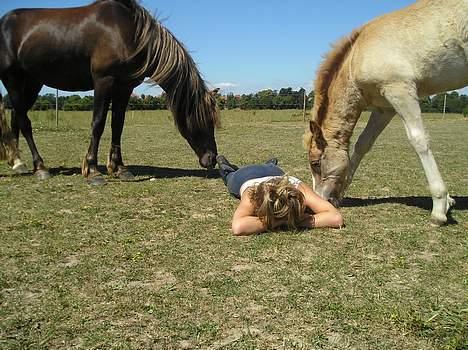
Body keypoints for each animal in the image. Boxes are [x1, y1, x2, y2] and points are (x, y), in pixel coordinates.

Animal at [0, 0, 219, 185]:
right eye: (203, 120)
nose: (212, 159)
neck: (128, 34)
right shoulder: (103, 82)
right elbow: (98, 123)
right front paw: (92, 170)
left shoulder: (125, 86)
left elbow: (117, 125)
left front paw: (119, 168)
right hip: (12, 80)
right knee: (24, 121)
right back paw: (39, 167)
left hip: (31, 83)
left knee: (15, 116)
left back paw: (18, 162)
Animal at [306, 0, 466, 224]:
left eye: (315, 163)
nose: (321, 200)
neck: (359, 54)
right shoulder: (385, 108)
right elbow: (363, 144)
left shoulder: (400, 90)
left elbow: (419, 140)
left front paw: (440, 207)